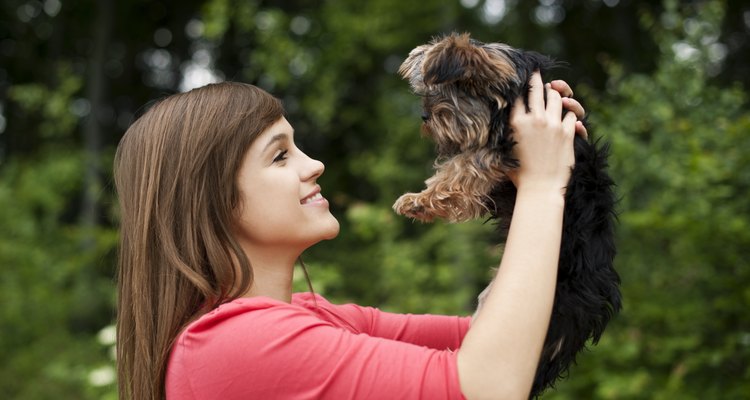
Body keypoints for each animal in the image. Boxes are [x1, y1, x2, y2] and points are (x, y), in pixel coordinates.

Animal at [394, 33, 624, 396]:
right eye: (426, 92)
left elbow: (462, 167)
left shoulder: (499, 147)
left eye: (447, 93)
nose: (425, 116)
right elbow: (457, 168)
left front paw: (419, 200)